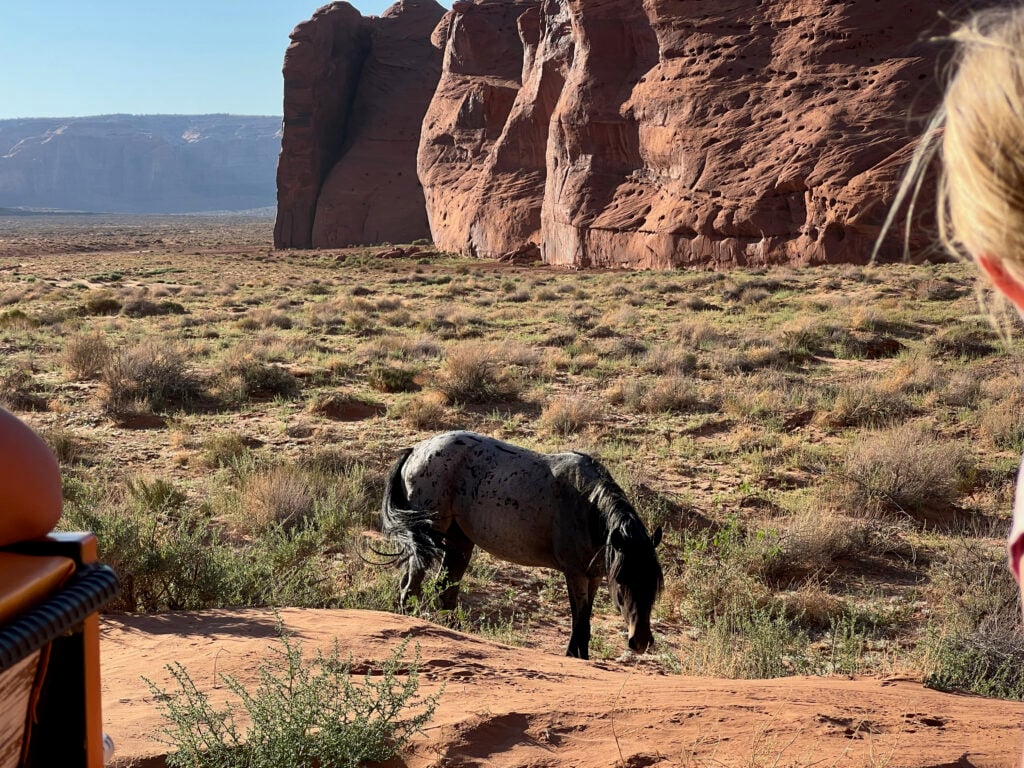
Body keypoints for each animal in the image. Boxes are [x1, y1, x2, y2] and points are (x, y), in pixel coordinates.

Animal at [378, 430, 663, 659]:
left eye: (654, 585)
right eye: (622, 584)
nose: (640, 642)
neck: (587, 505)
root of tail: (416, 450)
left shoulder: (592, 576)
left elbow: (585, 619)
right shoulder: (575, 574)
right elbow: (579, 619)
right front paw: (575, 655)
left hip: (459, 543)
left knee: (444, 591)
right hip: (428, 539)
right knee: (411, 587)